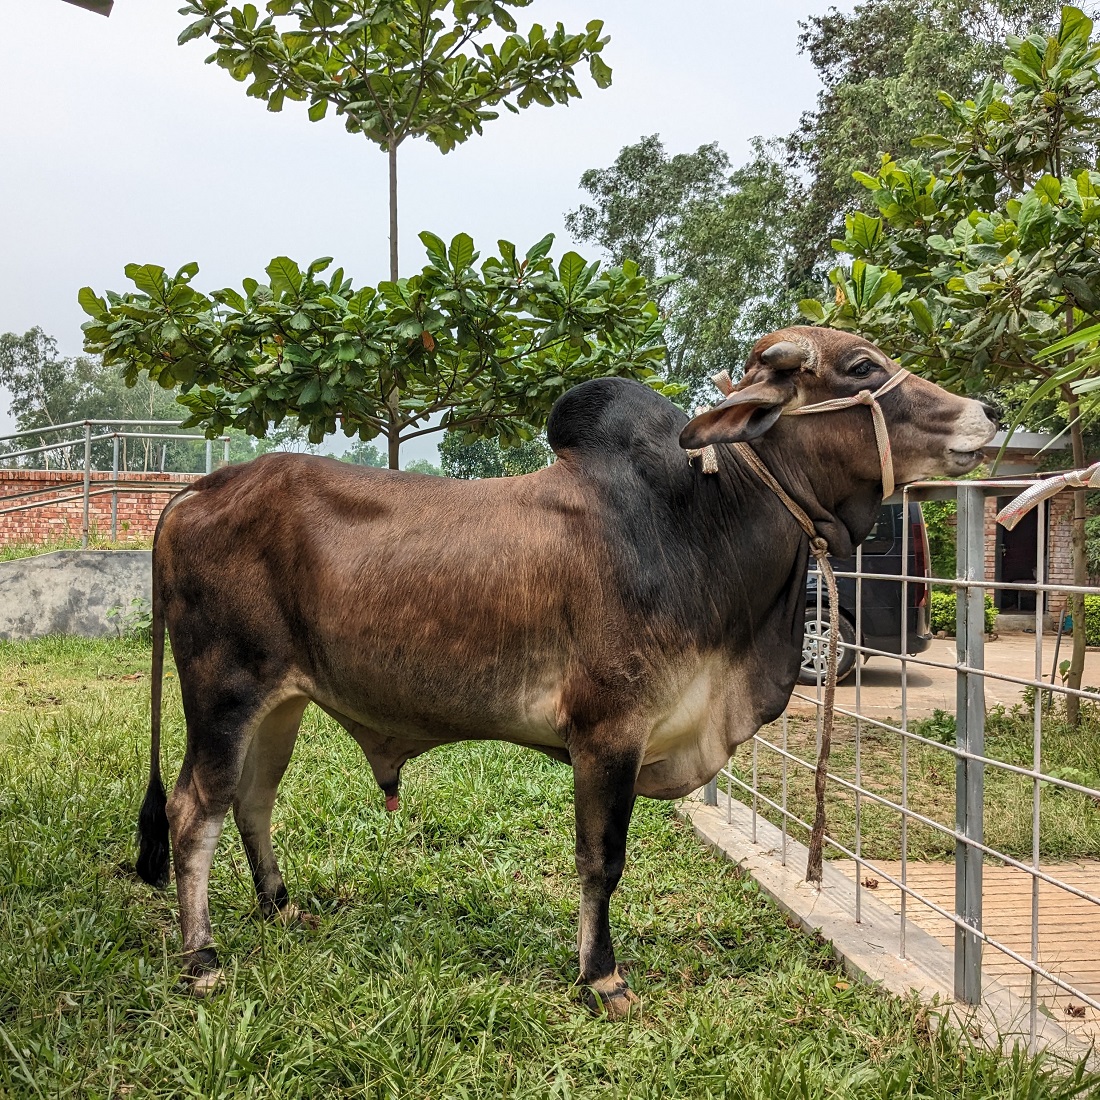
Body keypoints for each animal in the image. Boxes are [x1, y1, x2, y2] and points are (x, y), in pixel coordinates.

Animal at [137, 325, 998, 1012]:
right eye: (861, 366)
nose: (988, 410)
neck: (696, 520)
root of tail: (194, 493)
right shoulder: (609, 731)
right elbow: (600, 861)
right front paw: (602, 977)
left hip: (282, 701)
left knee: (252, 801)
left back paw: (280, 907)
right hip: (223, 691)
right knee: (194, 811)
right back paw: (203, 958)